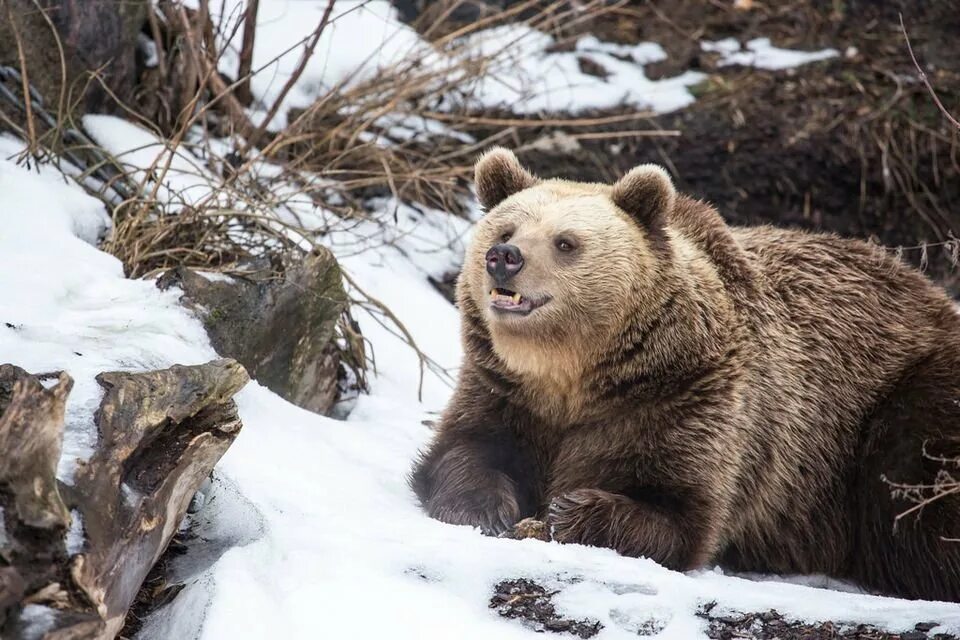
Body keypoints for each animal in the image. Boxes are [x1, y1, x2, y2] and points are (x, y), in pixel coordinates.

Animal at [410, 148, 960, 604]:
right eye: (504, 230)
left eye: (565, 242)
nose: (504, 258)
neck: (574, 374)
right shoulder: (506, 391)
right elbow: (465, 449)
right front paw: (486, 507)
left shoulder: (687, 401)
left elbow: (681, 512)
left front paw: (572, 509)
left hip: (903, 404)